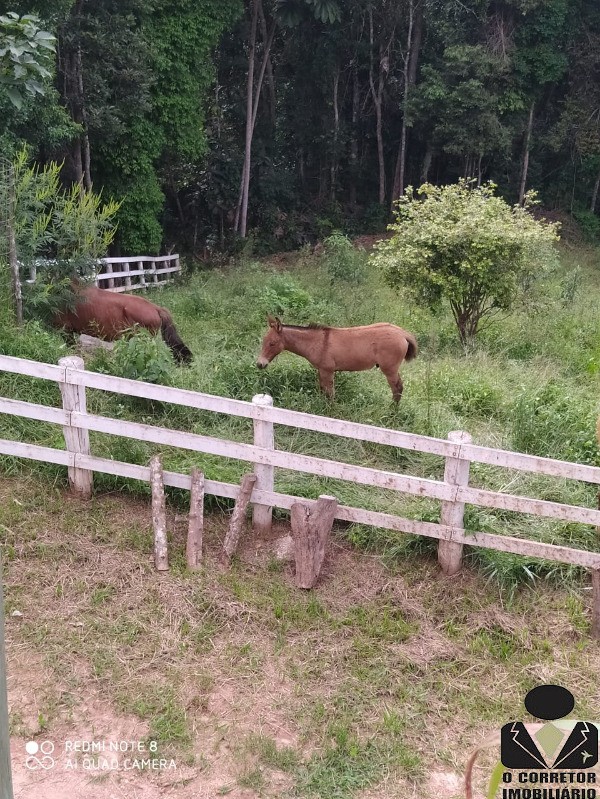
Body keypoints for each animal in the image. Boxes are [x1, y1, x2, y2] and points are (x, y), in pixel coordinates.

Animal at [256, 312, 418, 400]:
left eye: (272, 343)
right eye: (263, 341)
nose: (259, 364)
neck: (318, 342)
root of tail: (402, 333)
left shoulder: (328, 371)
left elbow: (330, 394)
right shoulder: (321, 370)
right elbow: (322, 390)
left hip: (390, 369)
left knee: (397, 389)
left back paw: (392, 413)